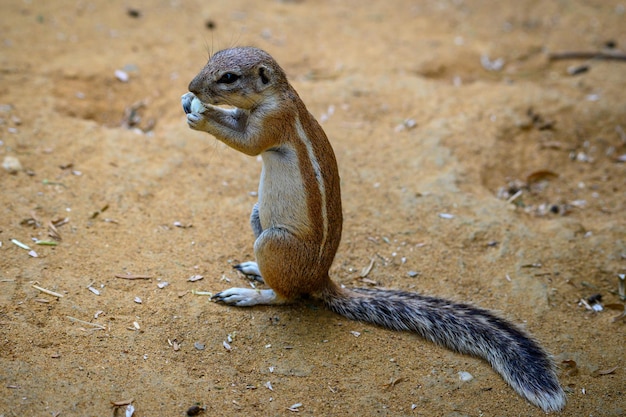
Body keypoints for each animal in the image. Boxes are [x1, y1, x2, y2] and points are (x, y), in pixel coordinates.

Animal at [180, 45, 564, 410]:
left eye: (229, 77)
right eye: (212, 59)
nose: (191, 87)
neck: (277, 95)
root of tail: (320, 279)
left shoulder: (273, 122)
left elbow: (246, 143)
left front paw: (200, 115)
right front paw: (189, 103)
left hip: (274, 242)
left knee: (287, 296)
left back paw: (248, 294)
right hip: (258, 214)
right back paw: (253, 270)